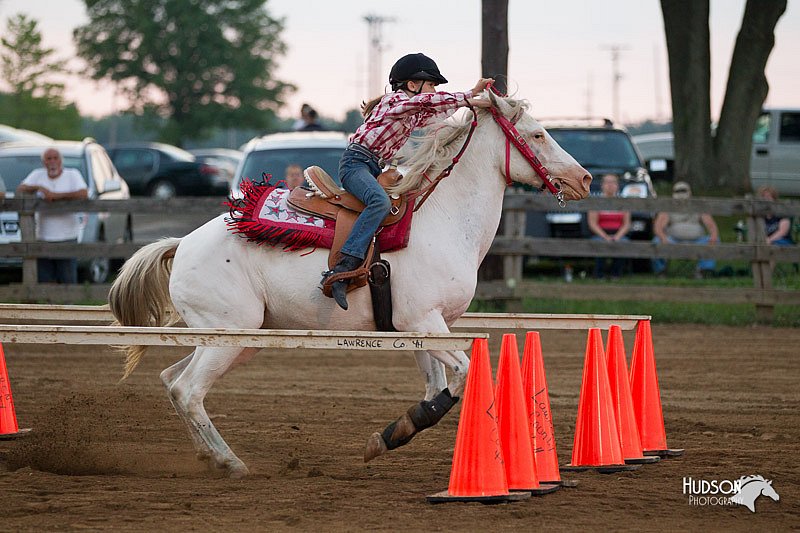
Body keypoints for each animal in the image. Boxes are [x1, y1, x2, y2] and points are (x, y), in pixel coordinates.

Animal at [109, 89, 592, 476]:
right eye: (537, 135)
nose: (584, 178)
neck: (443, 221)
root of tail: (182, 244)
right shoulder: (424, 322)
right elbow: (462, 376)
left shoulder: (421, 329)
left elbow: (438, 388)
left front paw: (391, 435)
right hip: (228, 335)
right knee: (188, 391)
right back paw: (231, 463)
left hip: (237, 338)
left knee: (172, 381)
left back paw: (208, 457)